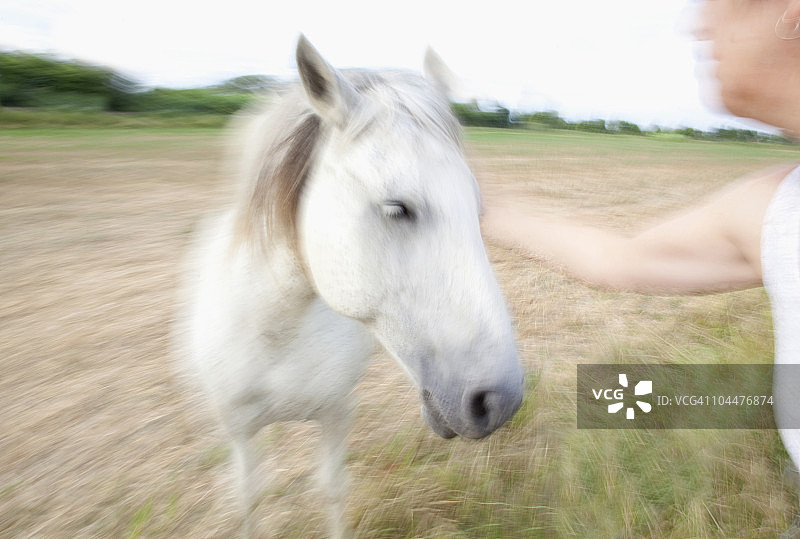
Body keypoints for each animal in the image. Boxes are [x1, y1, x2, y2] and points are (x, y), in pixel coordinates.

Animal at [179, 35, 524, 537]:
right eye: (397, 208)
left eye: (477, 209)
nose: (500, 400)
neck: (278, 331)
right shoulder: (238, 429)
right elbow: (250, 499)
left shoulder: (337, 412)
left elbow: (331, 489)